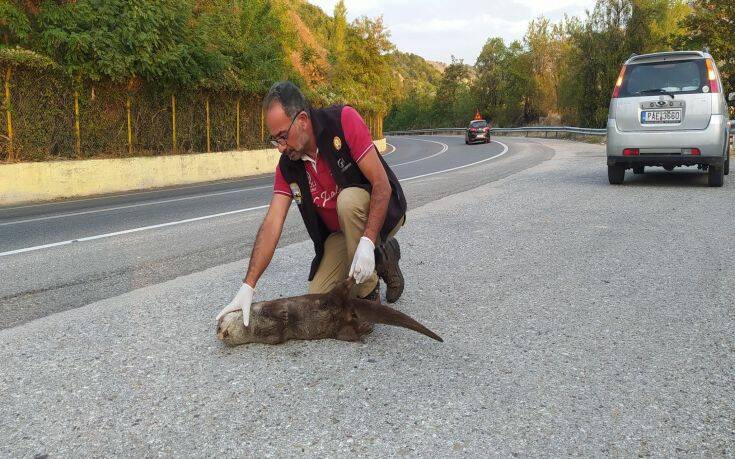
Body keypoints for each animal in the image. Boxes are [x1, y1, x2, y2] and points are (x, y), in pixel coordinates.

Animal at [214, 278, 442, 346]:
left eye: (218, 324)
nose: (219, 333)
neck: (253, 325)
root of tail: (347, 308)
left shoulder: (262, 306)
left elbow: (277, 309)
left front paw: (284, 315)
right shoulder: (266, 337)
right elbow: (277, 338)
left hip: (329, 297)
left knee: (338, 291)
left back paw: (351, 279)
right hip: (340, 330)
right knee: (350, 332)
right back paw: (363, 330)